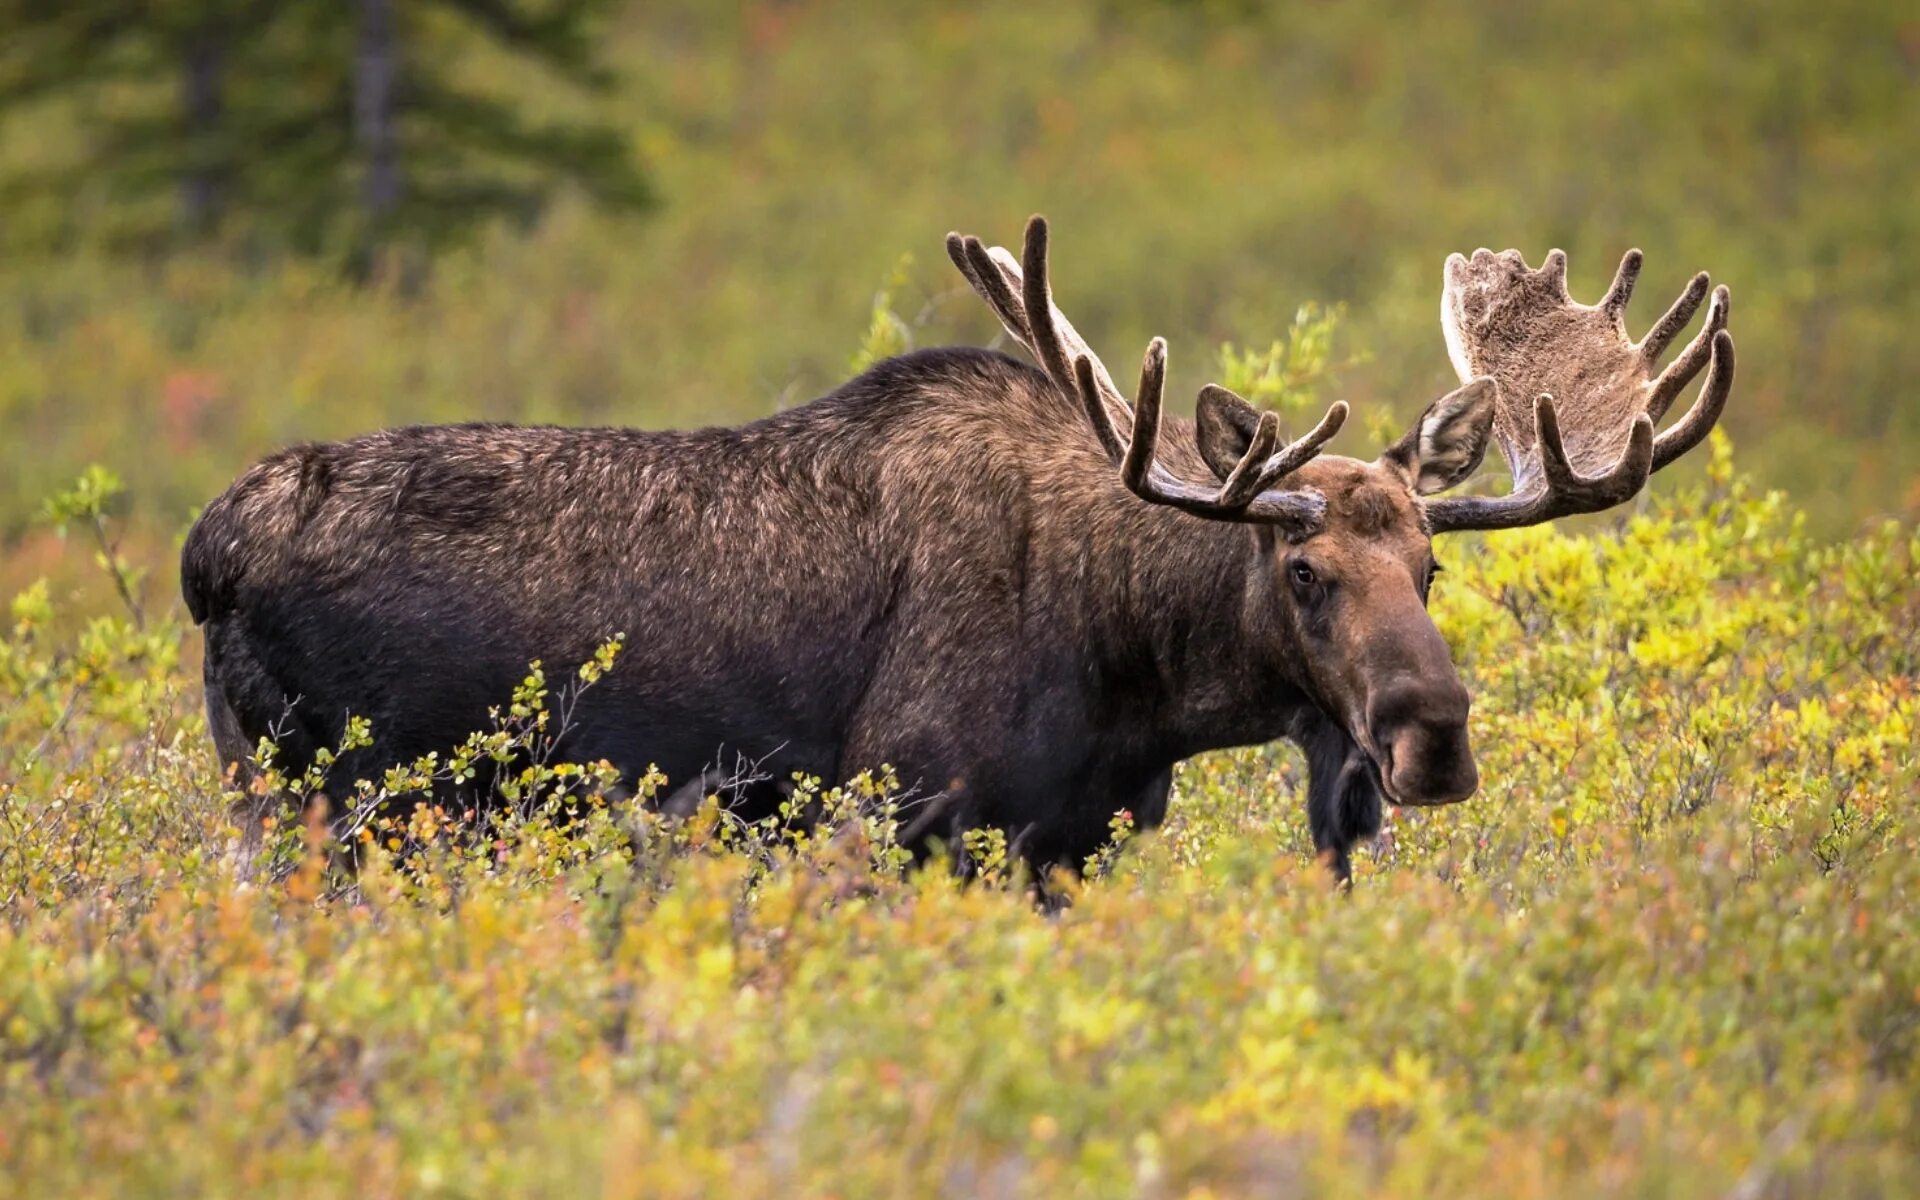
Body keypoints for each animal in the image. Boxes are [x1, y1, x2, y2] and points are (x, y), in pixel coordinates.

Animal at [187, 215, 1735, 875]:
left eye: (1431, 567)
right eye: (1303, 573)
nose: (1434, 737)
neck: (1139, 683)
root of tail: (210, 549)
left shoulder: (1069, 842)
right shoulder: (903, 811)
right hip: (343, 800)